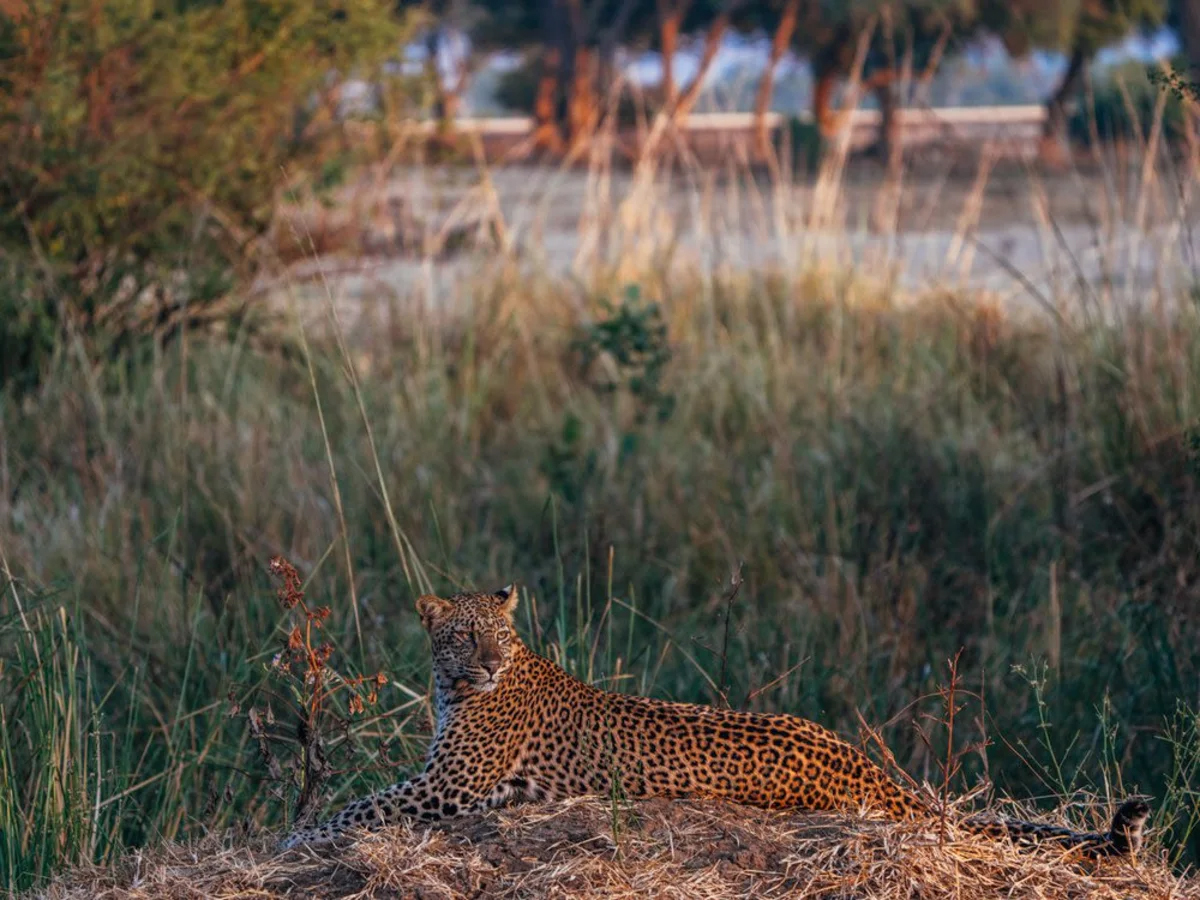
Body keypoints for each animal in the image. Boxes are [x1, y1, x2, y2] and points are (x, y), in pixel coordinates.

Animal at [279, 585, 1150, 857]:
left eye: (497, 636)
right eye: (462, 636)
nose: (488, 663)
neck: (455, 689)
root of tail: (864, 762)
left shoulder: (448, 788)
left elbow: (360, 806)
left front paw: (294, 839)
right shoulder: (443, 783)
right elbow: (362, 803)